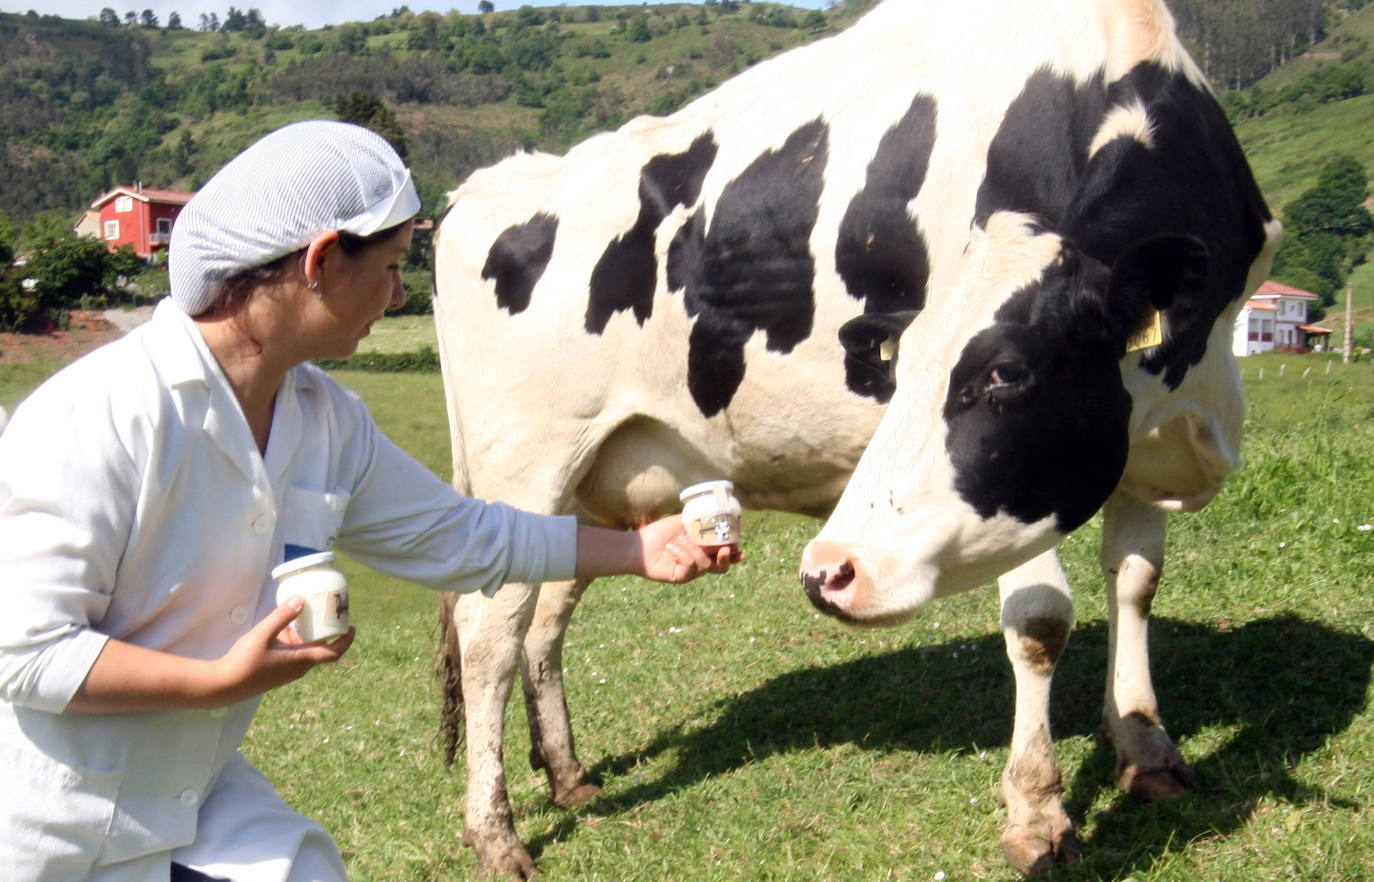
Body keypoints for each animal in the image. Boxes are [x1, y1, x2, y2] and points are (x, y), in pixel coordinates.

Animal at [428, 0, 1275, 868]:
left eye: (1006, 372)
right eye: (899, 364)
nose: (831, 572)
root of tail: (484, 187)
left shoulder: (1127, 439)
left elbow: (1135, 582)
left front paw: (1146, 749)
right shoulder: (1020, 481)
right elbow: (1041, 621)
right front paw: (1038, 811)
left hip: (589, 481)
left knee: (547, 614)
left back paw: (568, 775)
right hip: (524, 458)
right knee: (490, 632)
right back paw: (496, 837)